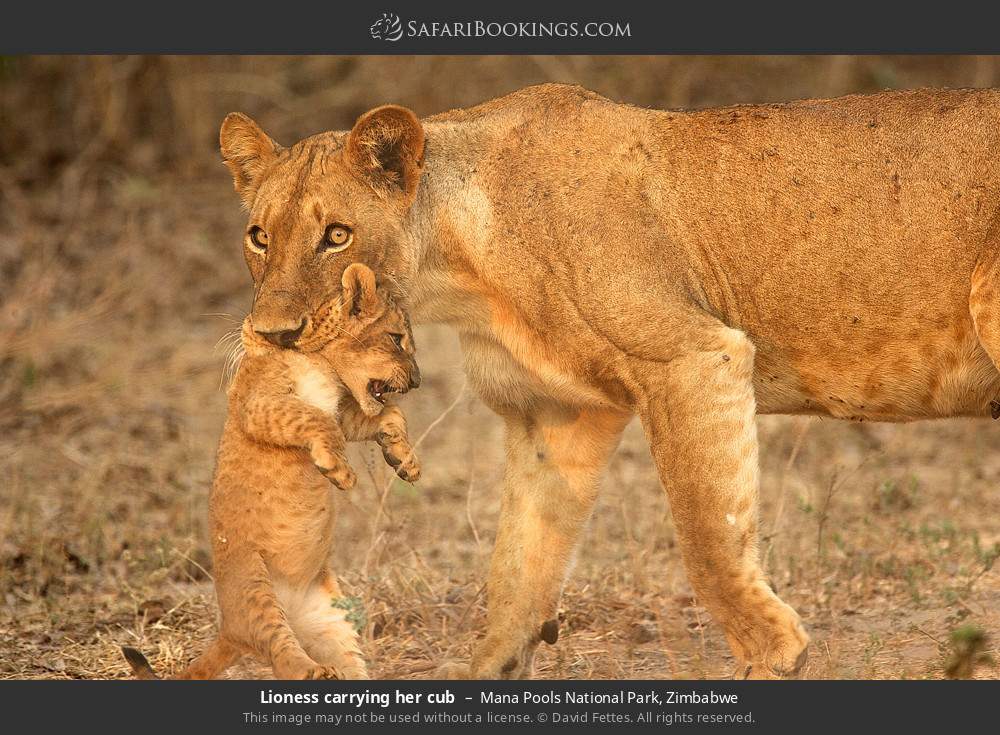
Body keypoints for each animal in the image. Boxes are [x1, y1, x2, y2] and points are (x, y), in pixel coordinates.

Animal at [122, 263, 420, 680]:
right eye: (396, 339)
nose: (417, 381)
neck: (320, 361)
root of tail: (229, 630)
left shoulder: (341, 412)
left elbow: (389, 414)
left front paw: (405, 462)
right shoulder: (259, 403)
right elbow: (316, 420)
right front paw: (339, 472)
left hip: (331, 620)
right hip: (254, 588)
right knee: (282, 653)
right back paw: (314, 671)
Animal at [216, 84, 1000, 679]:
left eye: (337, 235)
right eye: (259, 236)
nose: (274, 335)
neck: (458, 270)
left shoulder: (692, 355)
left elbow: (707, 538)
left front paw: (774, 656)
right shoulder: (553, 415)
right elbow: (517, 573)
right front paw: (491, 670)